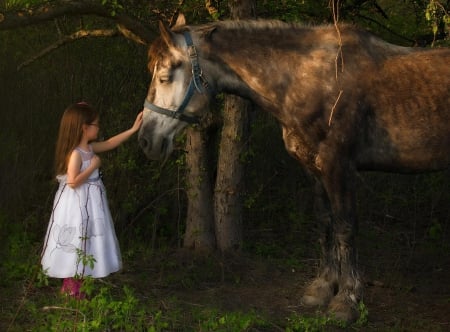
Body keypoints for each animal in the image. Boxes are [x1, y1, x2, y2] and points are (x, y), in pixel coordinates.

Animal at [138, 14, 450, 322]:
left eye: (164, 77)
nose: (145, 140)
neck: (308, 79)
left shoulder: (339, 167)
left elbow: (345, 227)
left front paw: (347, 300)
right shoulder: (313, 168)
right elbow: (325, 223)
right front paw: (322, 289)